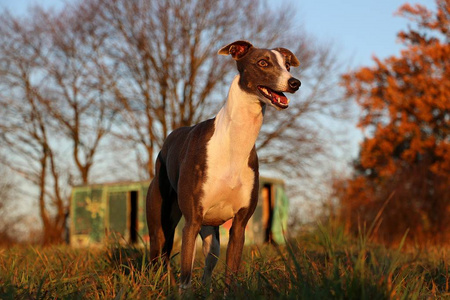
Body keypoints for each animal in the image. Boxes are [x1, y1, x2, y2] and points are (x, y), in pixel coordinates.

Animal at [146, 40, 300, 290]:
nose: (295, 83)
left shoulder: (239, 226)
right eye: (263, 62)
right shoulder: (192, 222)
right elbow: (185, 279)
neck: (233, 144)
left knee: (208, 264)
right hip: (161, 224)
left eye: (287, 65)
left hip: (212, 235)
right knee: (157, 256)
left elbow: (231, 276)